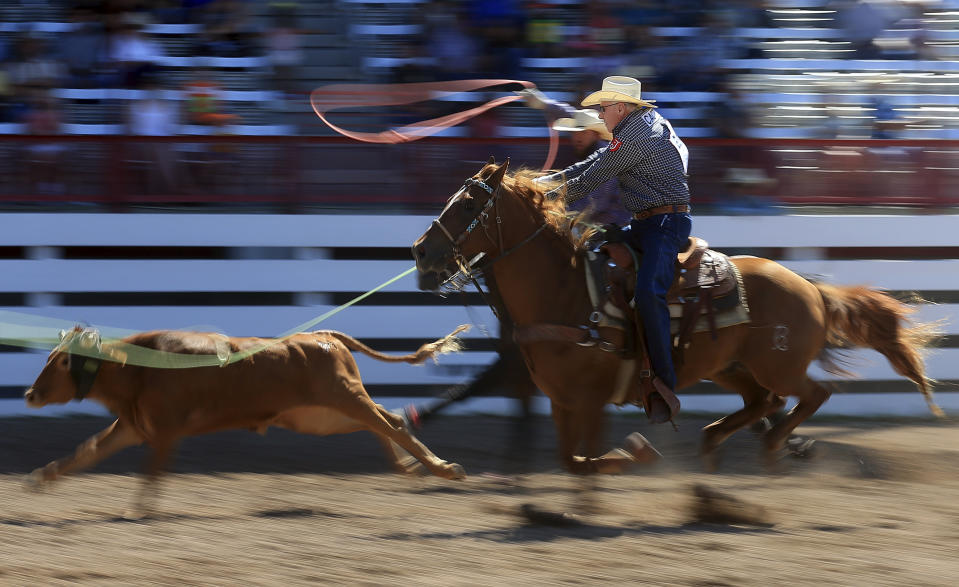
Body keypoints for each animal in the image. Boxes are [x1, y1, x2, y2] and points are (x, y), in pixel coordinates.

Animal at [25, 326, 468, 516]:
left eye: (61, 362)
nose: (30, 394)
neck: (138, 368)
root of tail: (324, 336)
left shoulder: (164, 431)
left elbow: (151, 472)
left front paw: (142, 511)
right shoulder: (134, 426)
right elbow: (87, 451)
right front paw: (42, 477)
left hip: (345, 397)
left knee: (390, 423)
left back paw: (445, 468)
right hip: (321, 416)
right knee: (385, 421)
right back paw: (410, 469)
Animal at [408, 160, 940, 474]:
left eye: (470, 204)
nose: (420, 252)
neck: (567, 291)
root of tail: (809, 286)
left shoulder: (589, 397)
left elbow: (584, 456)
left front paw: (629, 454)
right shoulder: (560, 396)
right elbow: (571, 456)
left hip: (778, 365)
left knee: (811, 394)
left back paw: (772, 445)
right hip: (730, 367)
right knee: (764, 402)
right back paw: (716, 440)